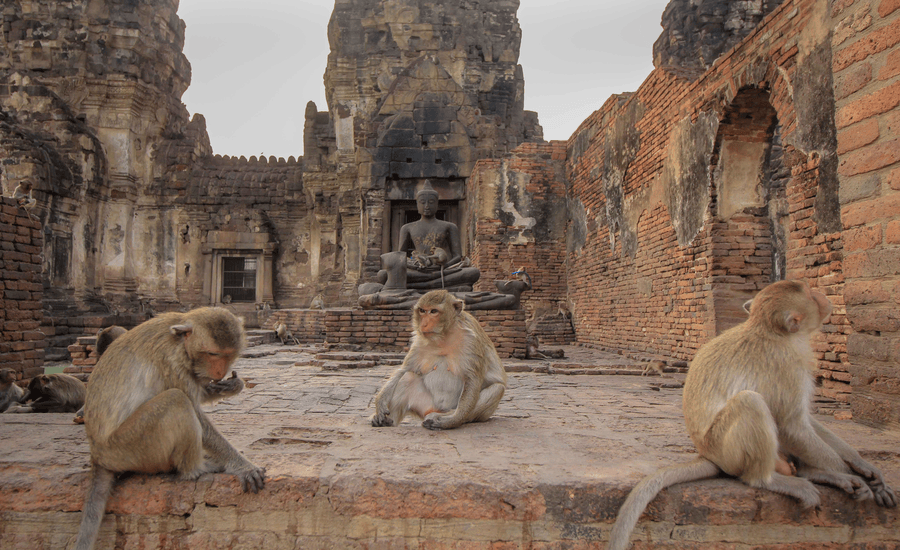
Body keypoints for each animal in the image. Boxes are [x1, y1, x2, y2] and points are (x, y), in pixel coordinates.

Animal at [74, 307, 265, 550]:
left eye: (227, 354)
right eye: (212, 354)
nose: (219, 372)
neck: (181, 341)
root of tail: (97, 456)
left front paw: (232, 386)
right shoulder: (170, 360)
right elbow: (195, 411)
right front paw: (243, 466)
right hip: (129, 447)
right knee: (176, 399)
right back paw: (196, 469)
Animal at [371, 290, 507, 430]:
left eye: (434, 311)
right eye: (422, 310)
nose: (424, 324)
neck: (444, 337)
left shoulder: (471, 340)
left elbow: (472, 379)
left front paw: (451, 421)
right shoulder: (419, 342)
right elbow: (403, 370)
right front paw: (380, 403)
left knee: (497, 389)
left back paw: (444, 416)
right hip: (425, 404)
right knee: (407, 377)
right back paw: (388, 421)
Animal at [607, 280, 897, 550]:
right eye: (810, 294)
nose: (822, 296)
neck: (771, 331)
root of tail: (707, 454)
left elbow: (804, 421)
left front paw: (863, 467)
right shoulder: (788, 363)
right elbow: (792, 425)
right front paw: (854, 479)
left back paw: (814, 473)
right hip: (725, 448)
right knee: (751, 402)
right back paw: (770, 480)